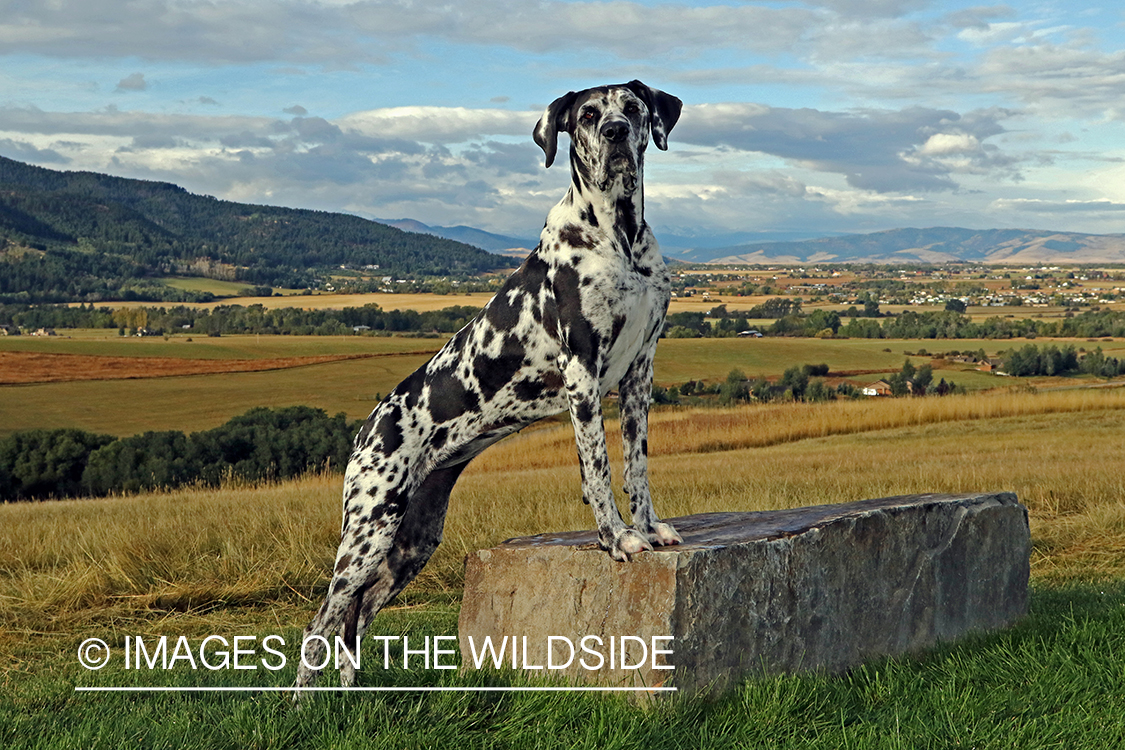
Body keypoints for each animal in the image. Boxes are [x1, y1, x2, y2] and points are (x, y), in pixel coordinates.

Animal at [299, 82, 679, 692]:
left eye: (633, 108)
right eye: (587, 115)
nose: (616, 132)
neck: (618, 237)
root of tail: (367, 428)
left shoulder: (640, 370)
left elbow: (637, 466)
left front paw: (648, 528)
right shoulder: (582, 372)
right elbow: (598, 471)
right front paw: (616, 538)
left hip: (412, 540)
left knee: (355, 618)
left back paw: (349, 695)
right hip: (366, 532)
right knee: (322, 622)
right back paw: (302, 703)